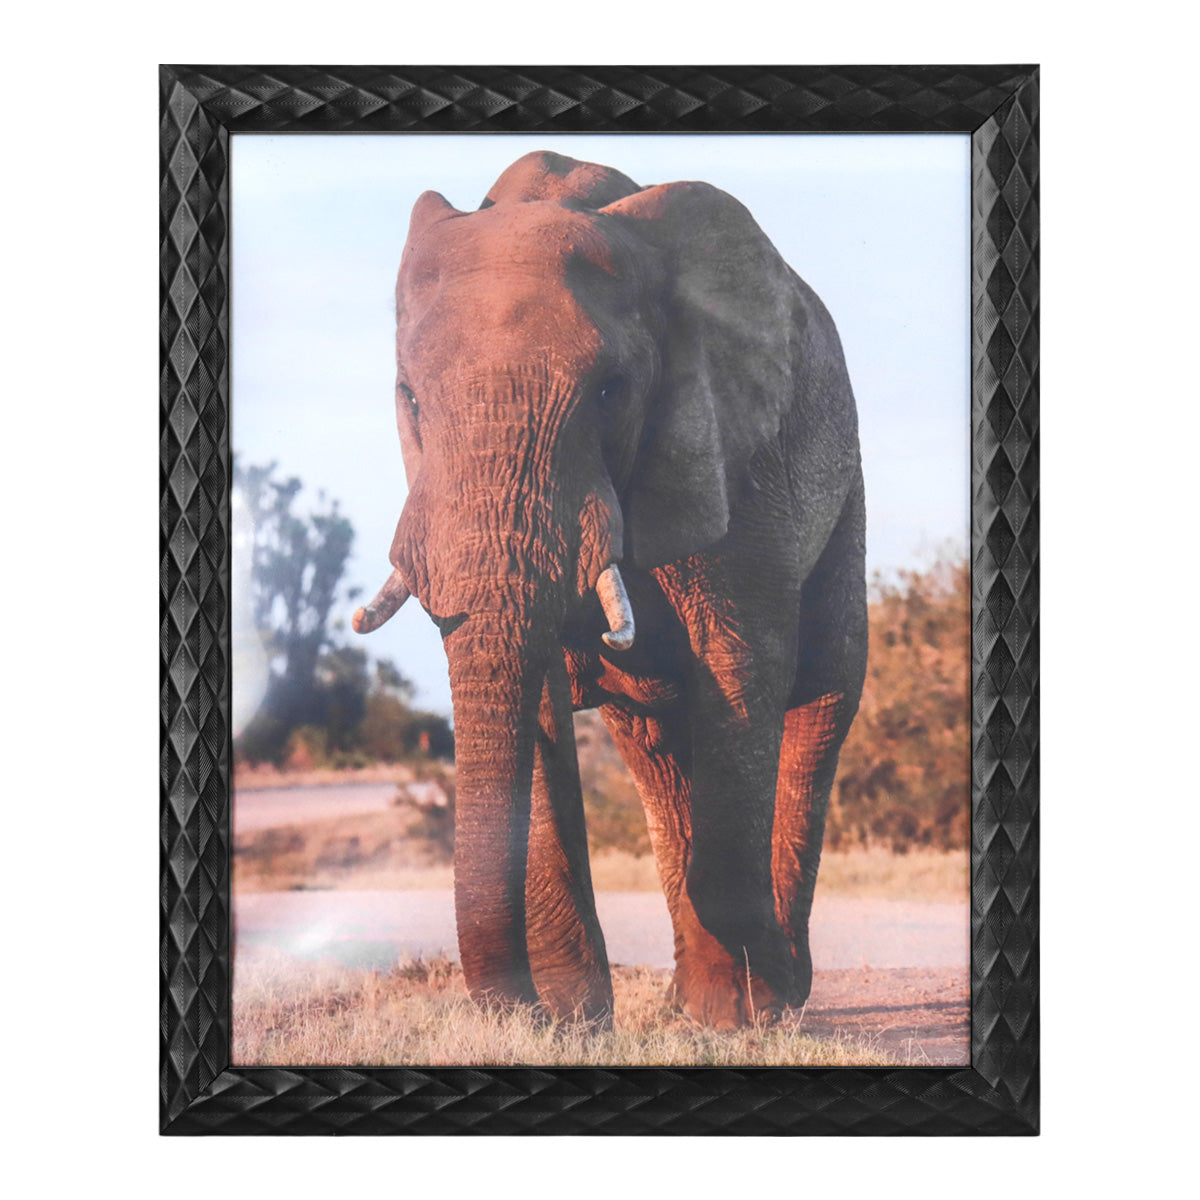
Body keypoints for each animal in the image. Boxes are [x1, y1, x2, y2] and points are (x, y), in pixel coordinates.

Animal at [353, 151, 867, 1029]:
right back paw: (700, 1001)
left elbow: (742, 669)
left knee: (821, 702)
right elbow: (539, 696)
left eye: (610, 390)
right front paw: (574, 1023)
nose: (516, 1012)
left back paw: (776, 998)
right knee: (653, 744)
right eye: (410, 398)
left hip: (845, 483)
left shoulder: (730, 451)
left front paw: (748, 1015)